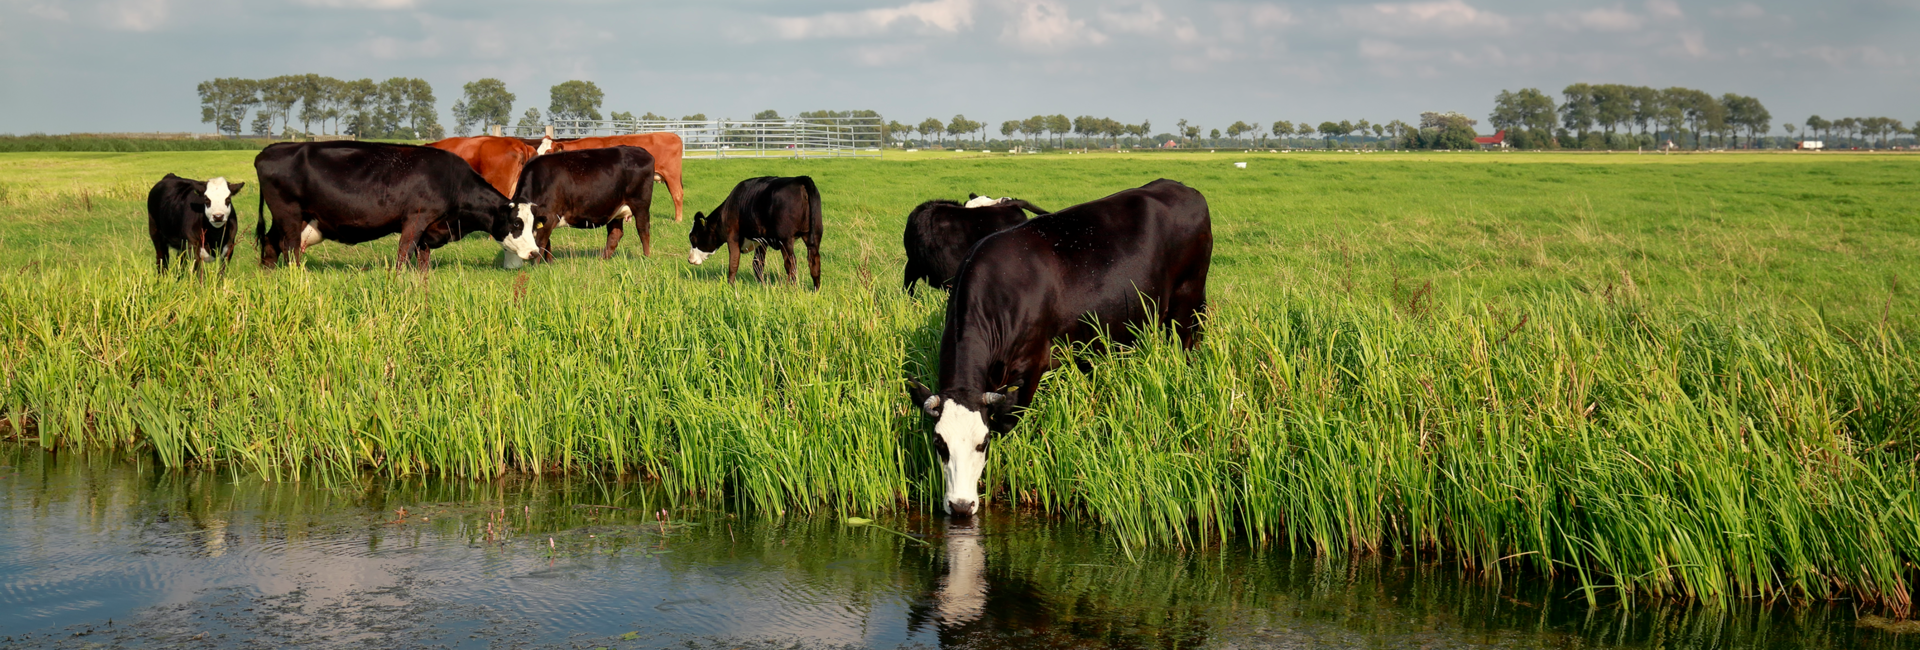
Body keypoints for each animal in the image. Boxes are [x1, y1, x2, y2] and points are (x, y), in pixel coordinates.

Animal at [253, 141, 541, 270]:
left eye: (532, 225)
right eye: (517, 223)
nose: (535, 253)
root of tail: (271, 148)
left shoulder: (429, 229)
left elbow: (423, 259)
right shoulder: (416, 219)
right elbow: (404, 253)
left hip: (288, 218)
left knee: (270, 243)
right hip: (289, 214)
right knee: (290, 248)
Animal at [507, 145, 656, 261]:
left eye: (517, 225)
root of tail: (642, 151)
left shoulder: (549, 216)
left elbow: (540, 243)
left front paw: (536, 266)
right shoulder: (545, 219)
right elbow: (546, 244)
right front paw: (549, 263)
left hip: (640, 203)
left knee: (643, 229)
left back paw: (647, 257)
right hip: (614, 207)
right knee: (615, 234)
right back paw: (602, 260)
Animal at [686, 176, 823, 289]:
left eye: (692, 237)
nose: (689, 259)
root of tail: (800, 179)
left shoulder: (733, 236)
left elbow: (733, 263)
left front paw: (730, 286)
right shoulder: (761, 241)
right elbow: (758, 264)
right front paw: (762, 285)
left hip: (786, 239)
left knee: (791, 263)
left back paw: (790, 288)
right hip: (814, 234)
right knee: (814, 261)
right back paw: (816, 290)